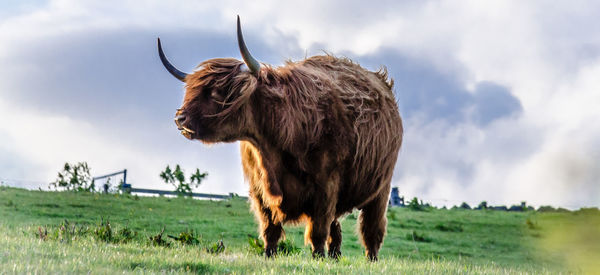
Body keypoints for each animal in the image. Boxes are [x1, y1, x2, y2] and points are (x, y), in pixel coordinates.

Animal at [158, 16, 404, 262]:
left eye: (217, 91)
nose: (180, 118)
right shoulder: (259, 190)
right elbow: (270, 229)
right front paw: (269, 255)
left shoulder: (326, 186)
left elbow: (318, 231)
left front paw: (318, 258)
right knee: (336, 230)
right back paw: (334, 256)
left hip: (382, 188)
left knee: (371, 229)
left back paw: (370, 259)